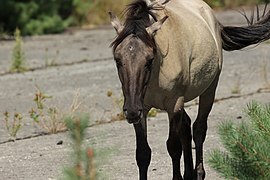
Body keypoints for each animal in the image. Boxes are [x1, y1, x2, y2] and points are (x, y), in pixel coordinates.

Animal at [108, 0, 270, 179]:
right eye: (117, 59)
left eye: (149, 60)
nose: (131, 112)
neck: (157, 72)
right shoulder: (142, 108)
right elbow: (143, 153)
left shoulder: (174, 105)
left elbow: (173, 147)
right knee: (186, 128)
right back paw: (189, 173)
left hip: (209, 90)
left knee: (198, 129)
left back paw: (198, 172)